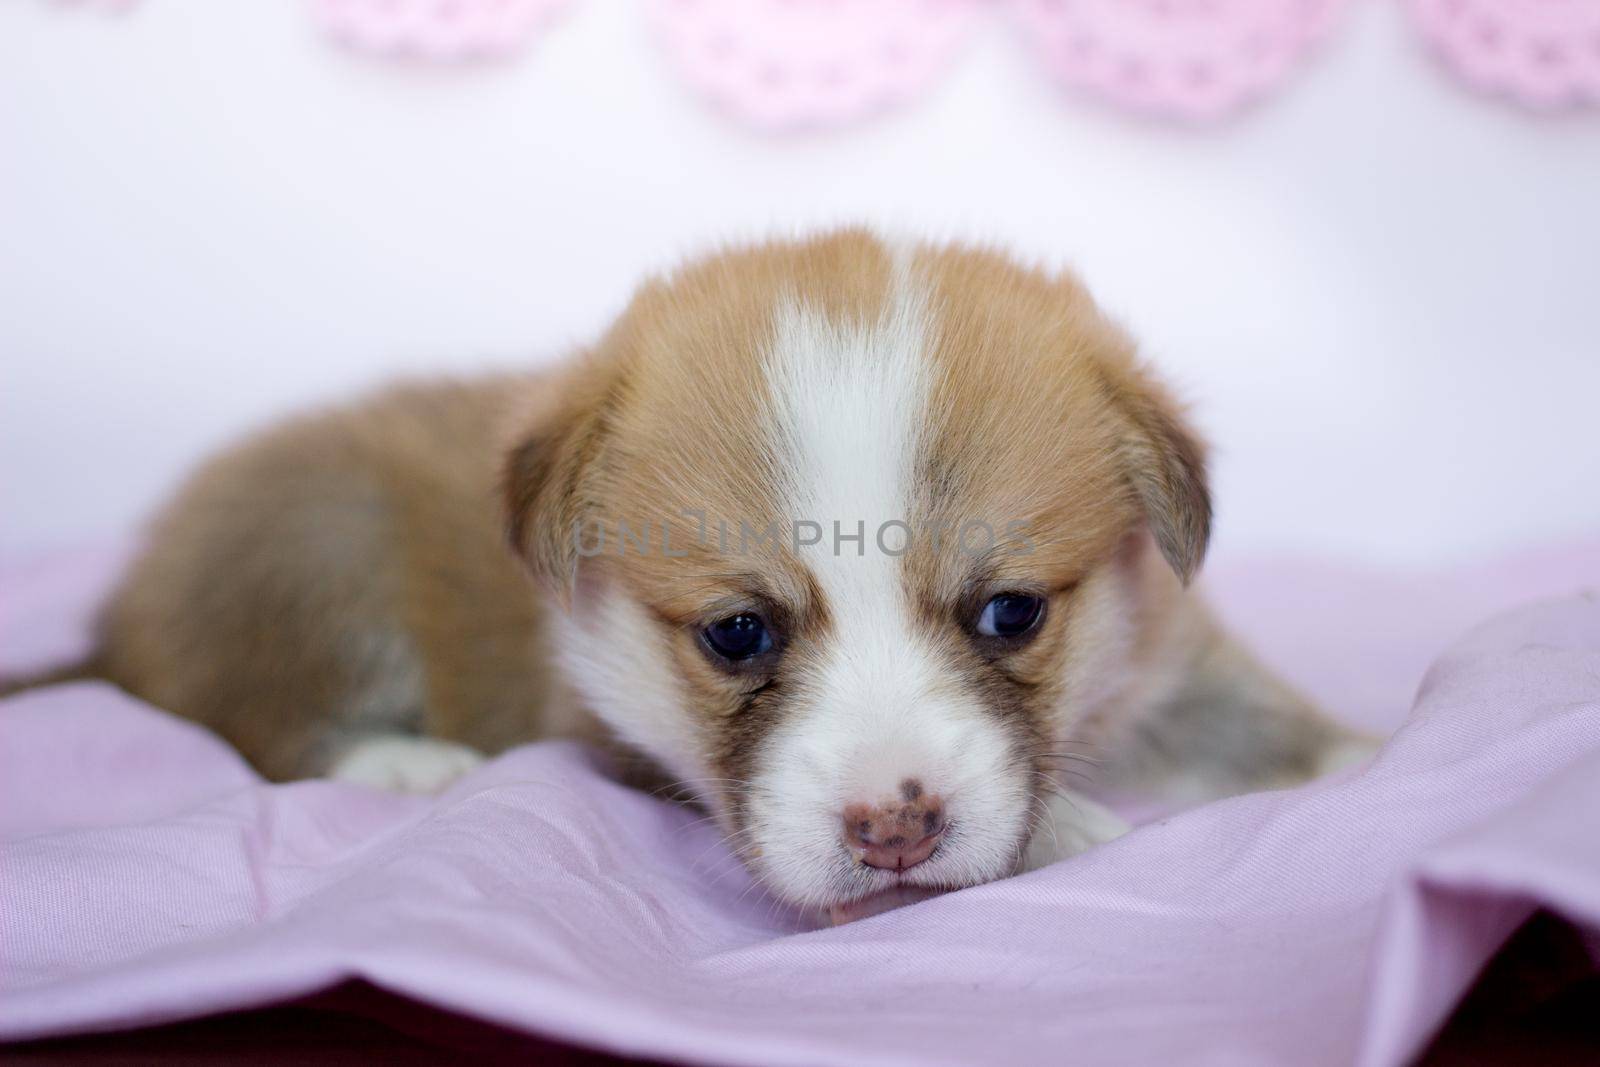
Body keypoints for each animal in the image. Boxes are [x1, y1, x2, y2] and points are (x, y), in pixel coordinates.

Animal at [72, 233, 1376, 927]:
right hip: (323, 542)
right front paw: (1071, 825)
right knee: (246, 713)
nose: (894, 828)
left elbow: (1259, 719)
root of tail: (114, 619)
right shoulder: (599, 727)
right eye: (737, 633)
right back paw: (401, 758)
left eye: (1010, 611)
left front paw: (1373, 756)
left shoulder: (1160, 657)